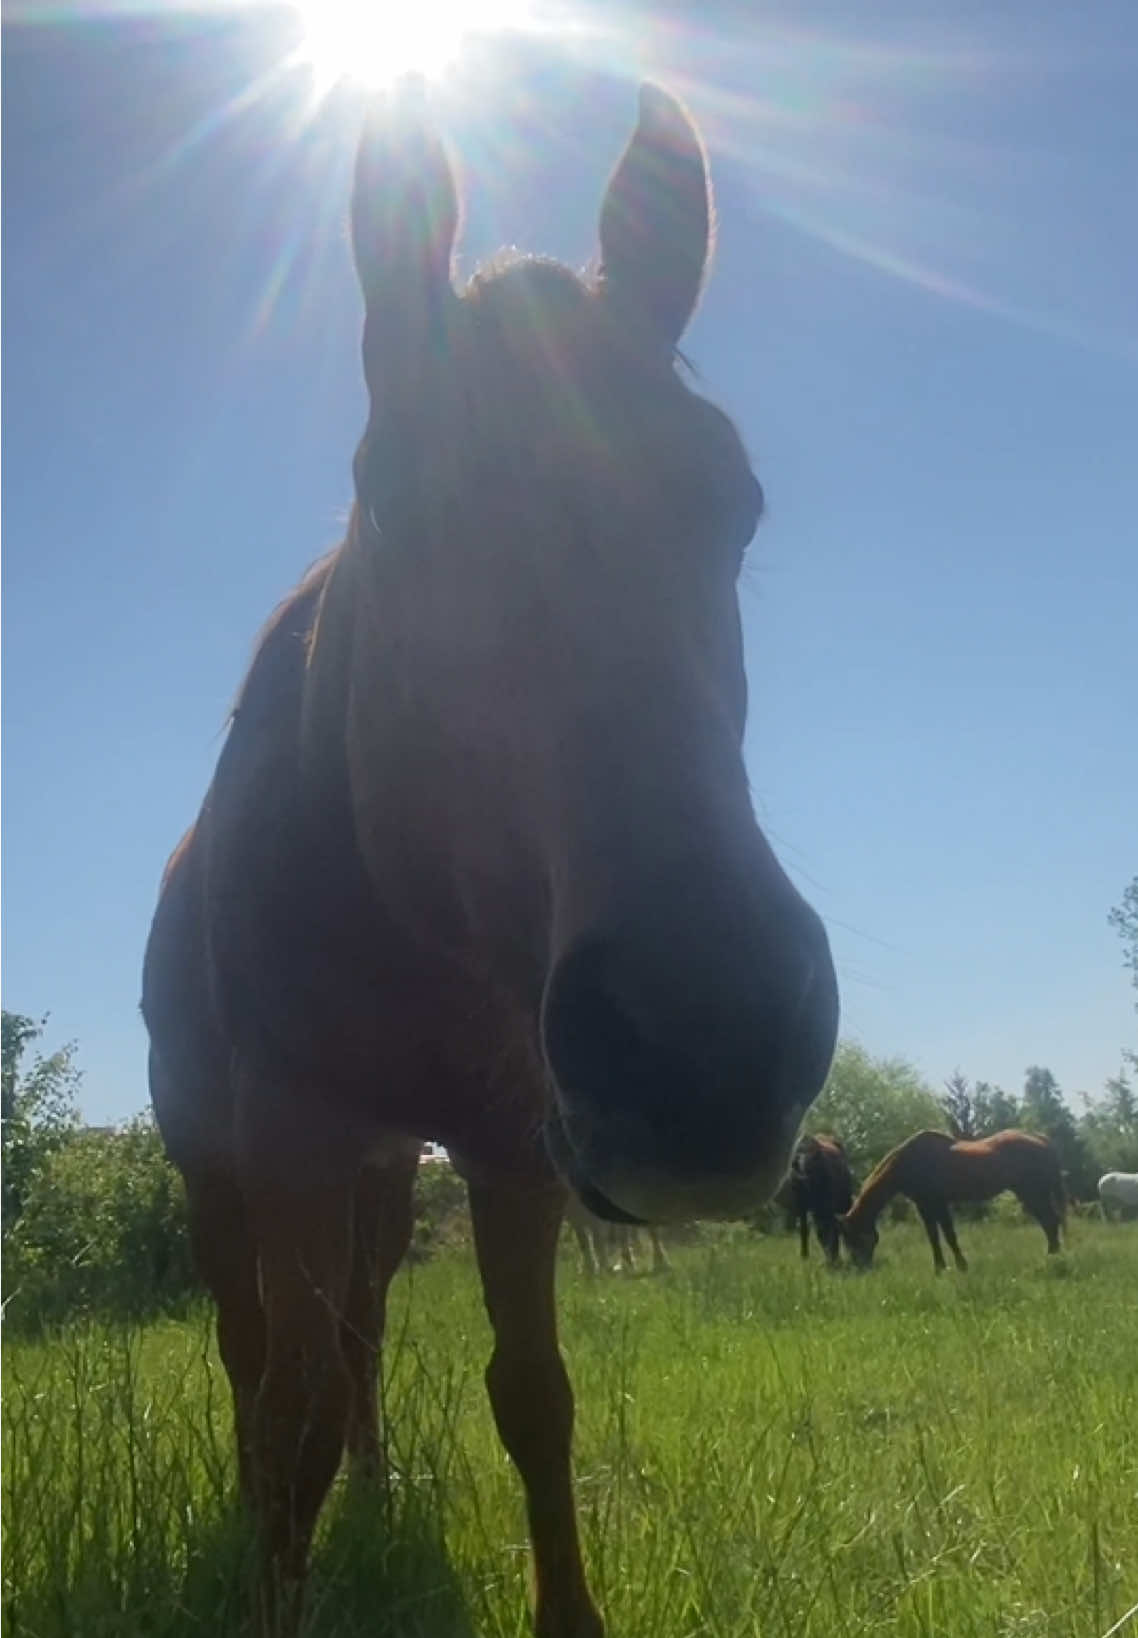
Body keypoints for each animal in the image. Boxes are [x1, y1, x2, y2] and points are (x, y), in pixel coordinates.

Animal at [141, 81, 839, 1638]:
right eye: (392, 495)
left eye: (736, 502)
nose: (703, 1047)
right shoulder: (287, 1131)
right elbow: (282, 1404)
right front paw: (275, 1567)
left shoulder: (511, 1142)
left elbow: (532, 1396)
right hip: (222, 1158)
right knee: (254, 1353)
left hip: (388, 1176)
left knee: (353, 1335)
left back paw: (372, 1480)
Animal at [784, 1133, 854, 1265]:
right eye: (821, 1235)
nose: (832, 1260)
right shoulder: (801, 1206)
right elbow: (804, 1230)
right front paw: (804, 1255)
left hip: (844, 1201)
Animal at [837, 1129, 1064, 1272]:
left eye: (854, 1238)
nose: (861, 1267)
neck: (909, 1162)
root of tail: (1044, 1141)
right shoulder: (924, 1206)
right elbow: (934, 1237)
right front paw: (940, 1268)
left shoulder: (939, 1203)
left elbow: (949, 1235)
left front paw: (961, 1266)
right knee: (1050, 1222)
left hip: (1033, 1193)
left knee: (1050, 1221)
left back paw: (1051, 1258)